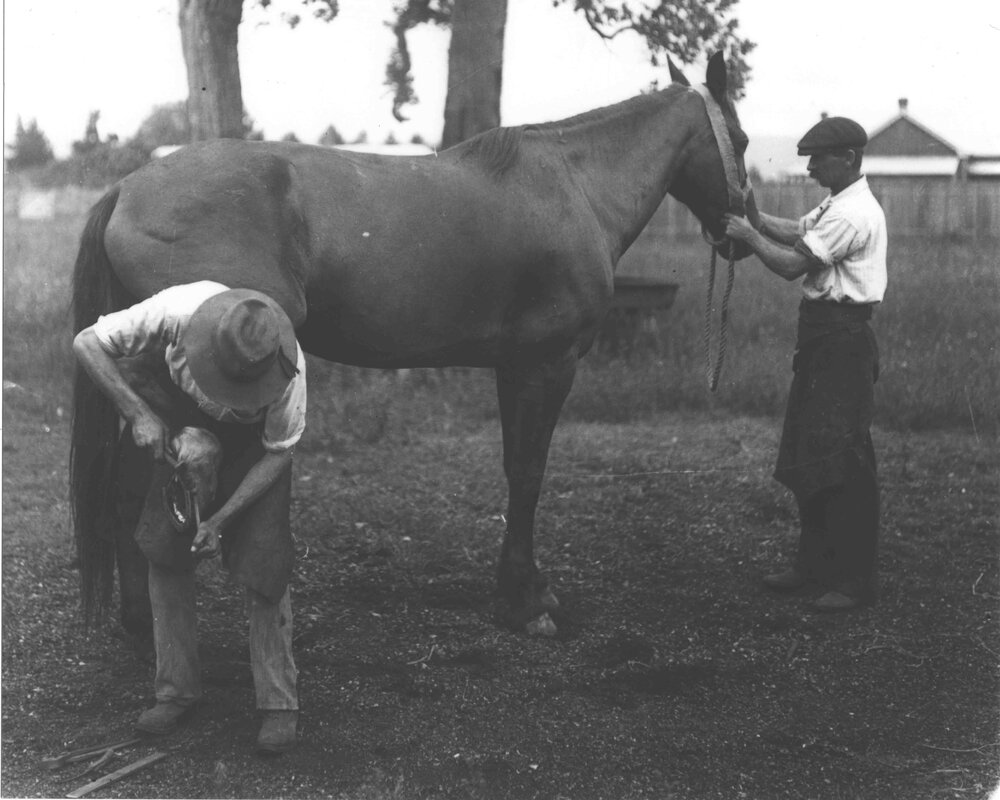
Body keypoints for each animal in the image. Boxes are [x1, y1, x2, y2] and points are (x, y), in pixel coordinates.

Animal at [70, 52, 759, 639]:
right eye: (744, 140)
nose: (742, 232)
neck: (573, 187)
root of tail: (127, 189)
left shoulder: (514, 368)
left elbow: (516, 467)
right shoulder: (547, 365)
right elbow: (528, 473)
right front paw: (526, 601)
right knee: (132, 482)